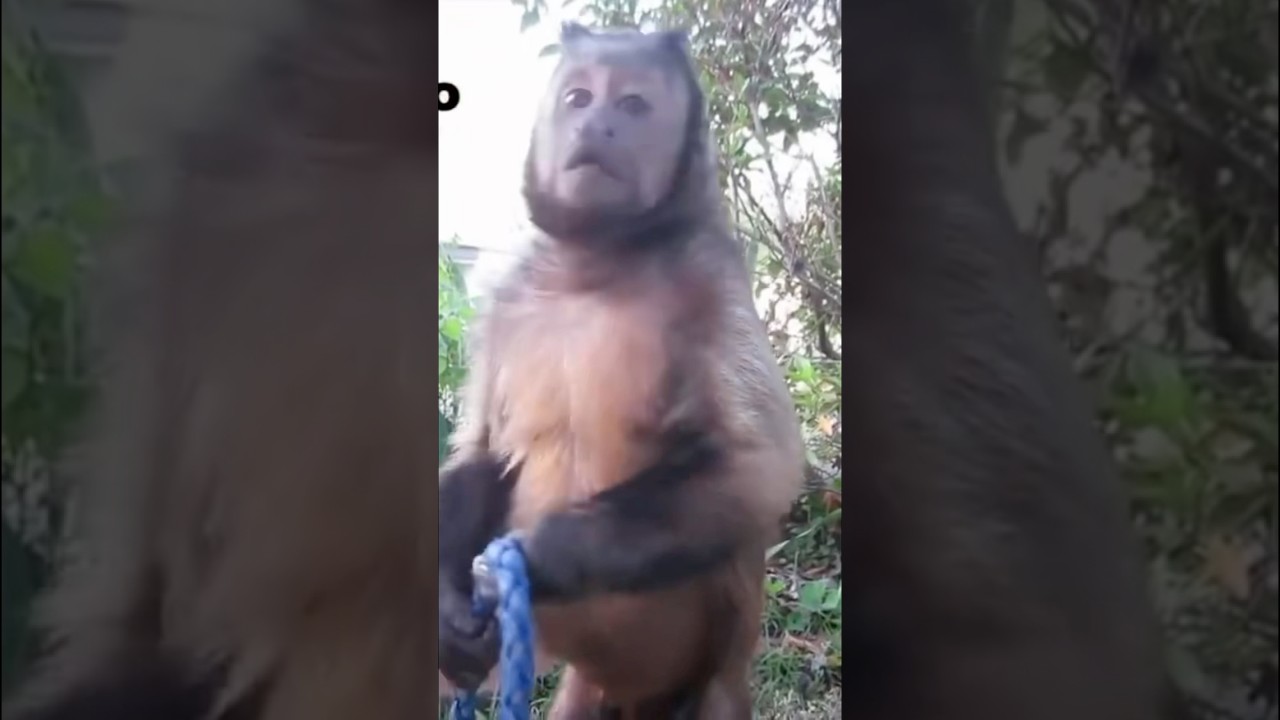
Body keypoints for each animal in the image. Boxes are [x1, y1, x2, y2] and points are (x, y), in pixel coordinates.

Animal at [436, 22, 806, 720]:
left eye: (632, 104)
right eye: (580, 98)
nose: (597, 125)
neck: (596, 261)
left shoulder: (711, 274)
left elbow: (756, 467)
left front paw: (539, 554)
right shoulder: (506, 295)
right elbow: (483, 449)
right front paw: (450, 600)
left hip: (706, 678)